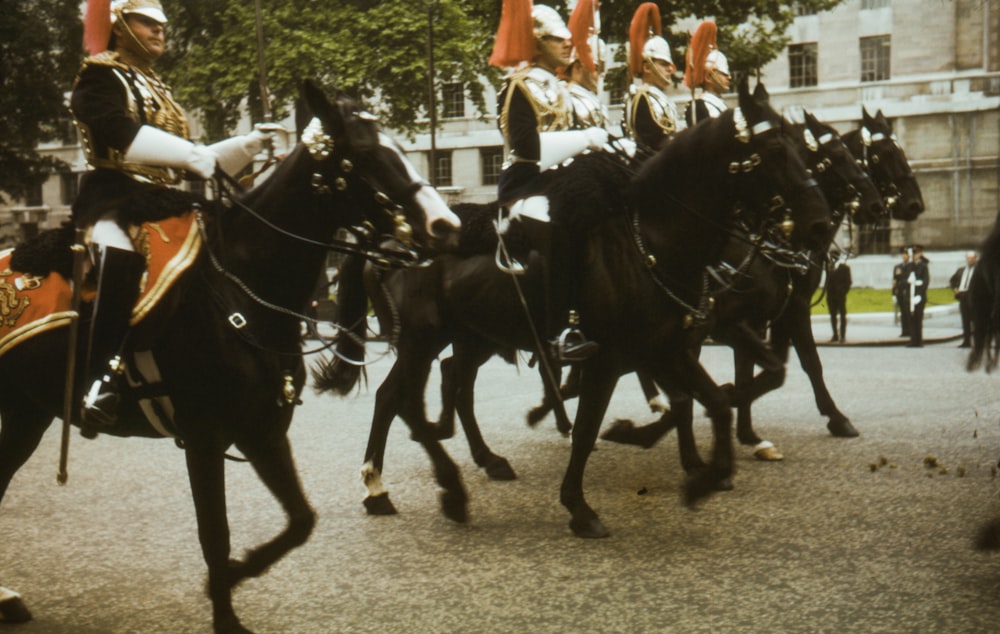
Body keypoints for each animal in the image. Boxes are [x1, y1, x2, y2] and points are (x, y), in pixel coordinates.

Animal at [0, 81, 460, 628]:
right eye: (365, 155)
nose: (445, 225)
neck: (241, 290)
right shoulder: (204, 437)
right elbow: (215, 535)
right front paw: (225, 608)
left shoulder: (263, 431)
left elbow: (300, 520)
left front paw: (238, 574)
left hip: (27, 412)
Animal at [316, 76, 832, 536]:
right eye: (775, 151)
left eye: (803, 150)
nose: (820, 225)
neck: (652, 240)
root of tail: (391, 238)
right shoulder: (616, 356)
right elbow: (593, 427)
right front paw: (581, 504)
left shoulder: (672, 346)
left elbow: (720, 398)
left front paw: (700, 471)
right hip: (422, 339)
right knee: (397, 397)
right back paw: (388, 487)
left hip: (469, 335)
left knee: (445, 386)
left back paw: (477, 462)